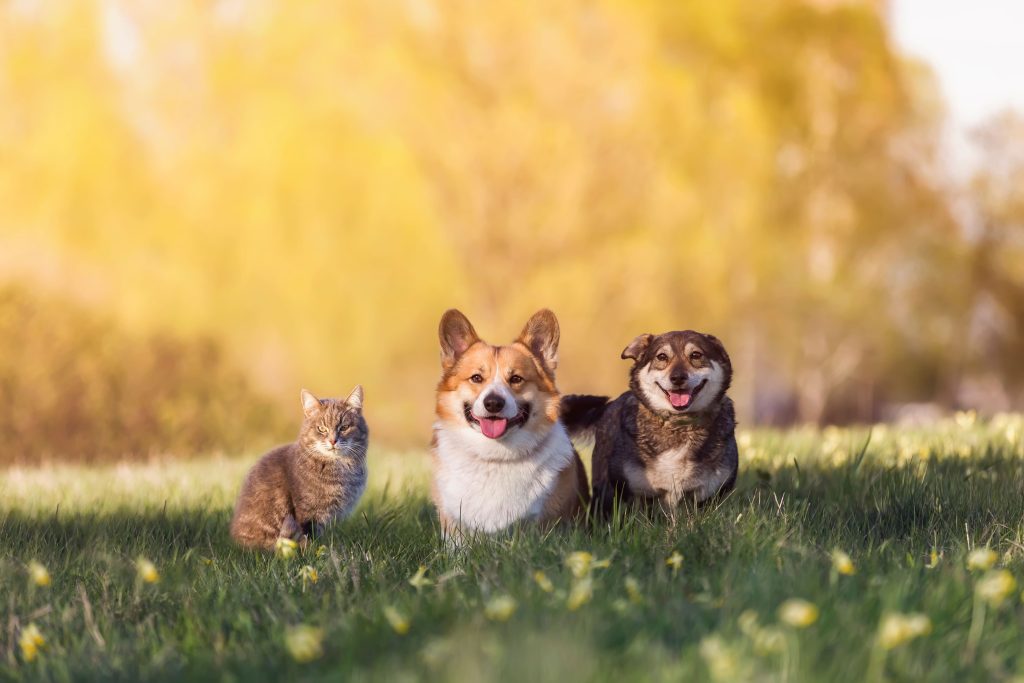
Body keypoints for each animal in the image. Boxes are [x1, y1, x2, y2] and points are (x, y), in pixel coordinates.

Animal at [231, 387, 368, 552]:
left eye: (344, 427)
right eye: (321, 429)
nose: (333, 440)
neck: (341, 467)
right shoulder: (307, 513)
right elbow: (308, 537)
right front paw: (315, 551)